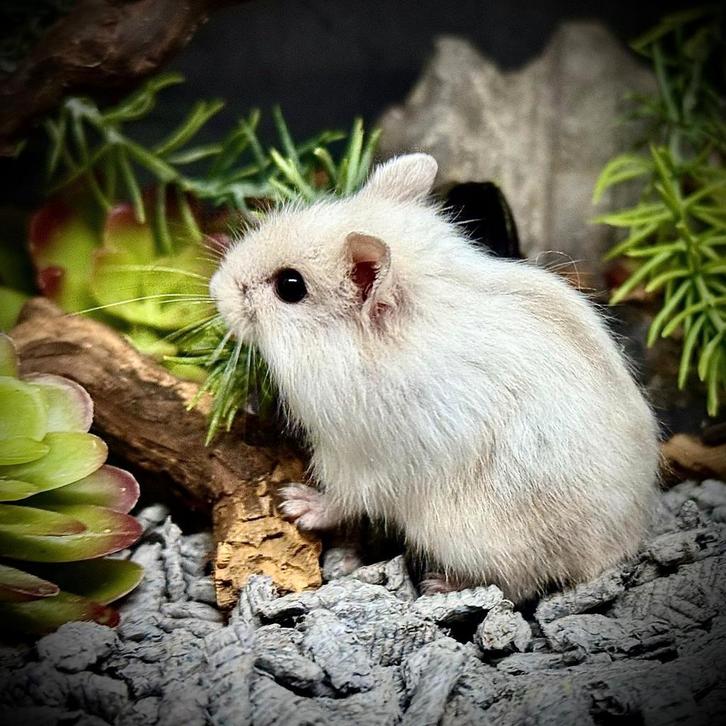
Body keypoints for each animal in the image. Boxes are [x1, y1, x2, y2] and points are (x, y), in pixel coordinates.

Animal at [210, 153, 660, 602]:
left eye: (290, 286)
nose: (215, 290)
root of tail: (623, 547)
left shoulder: (359, 460)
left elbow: (340, 500)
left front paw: (293, 503)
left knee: (518, 585)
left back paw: (439, 584)